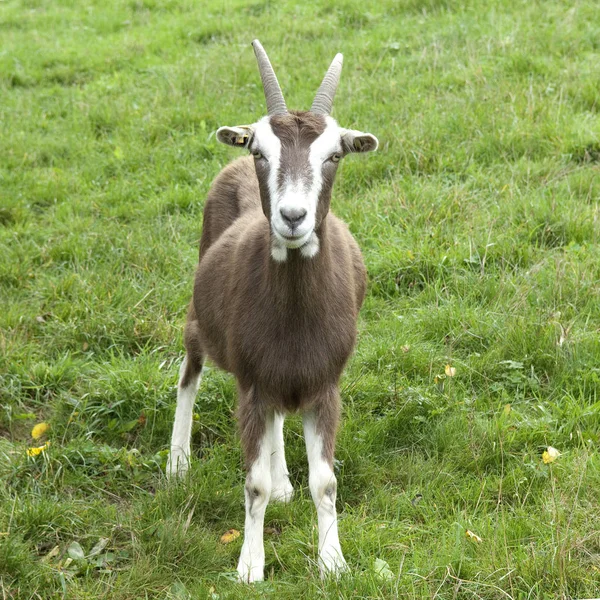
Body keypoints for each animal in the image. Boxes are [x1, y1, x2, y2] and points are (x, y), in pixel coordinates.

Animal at [166, 41, 378, 580]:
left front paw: (332, 562)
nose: (292, 217)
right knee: (188, 373)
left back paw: (284, 482)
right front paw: (249, 566)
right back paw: (177, 464)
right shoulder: (252, 387)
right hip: (200, 321)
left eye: (335, 154)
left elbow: (325, 483)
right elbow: (253, 483)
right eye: (259, 150)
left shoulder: (323, 386)